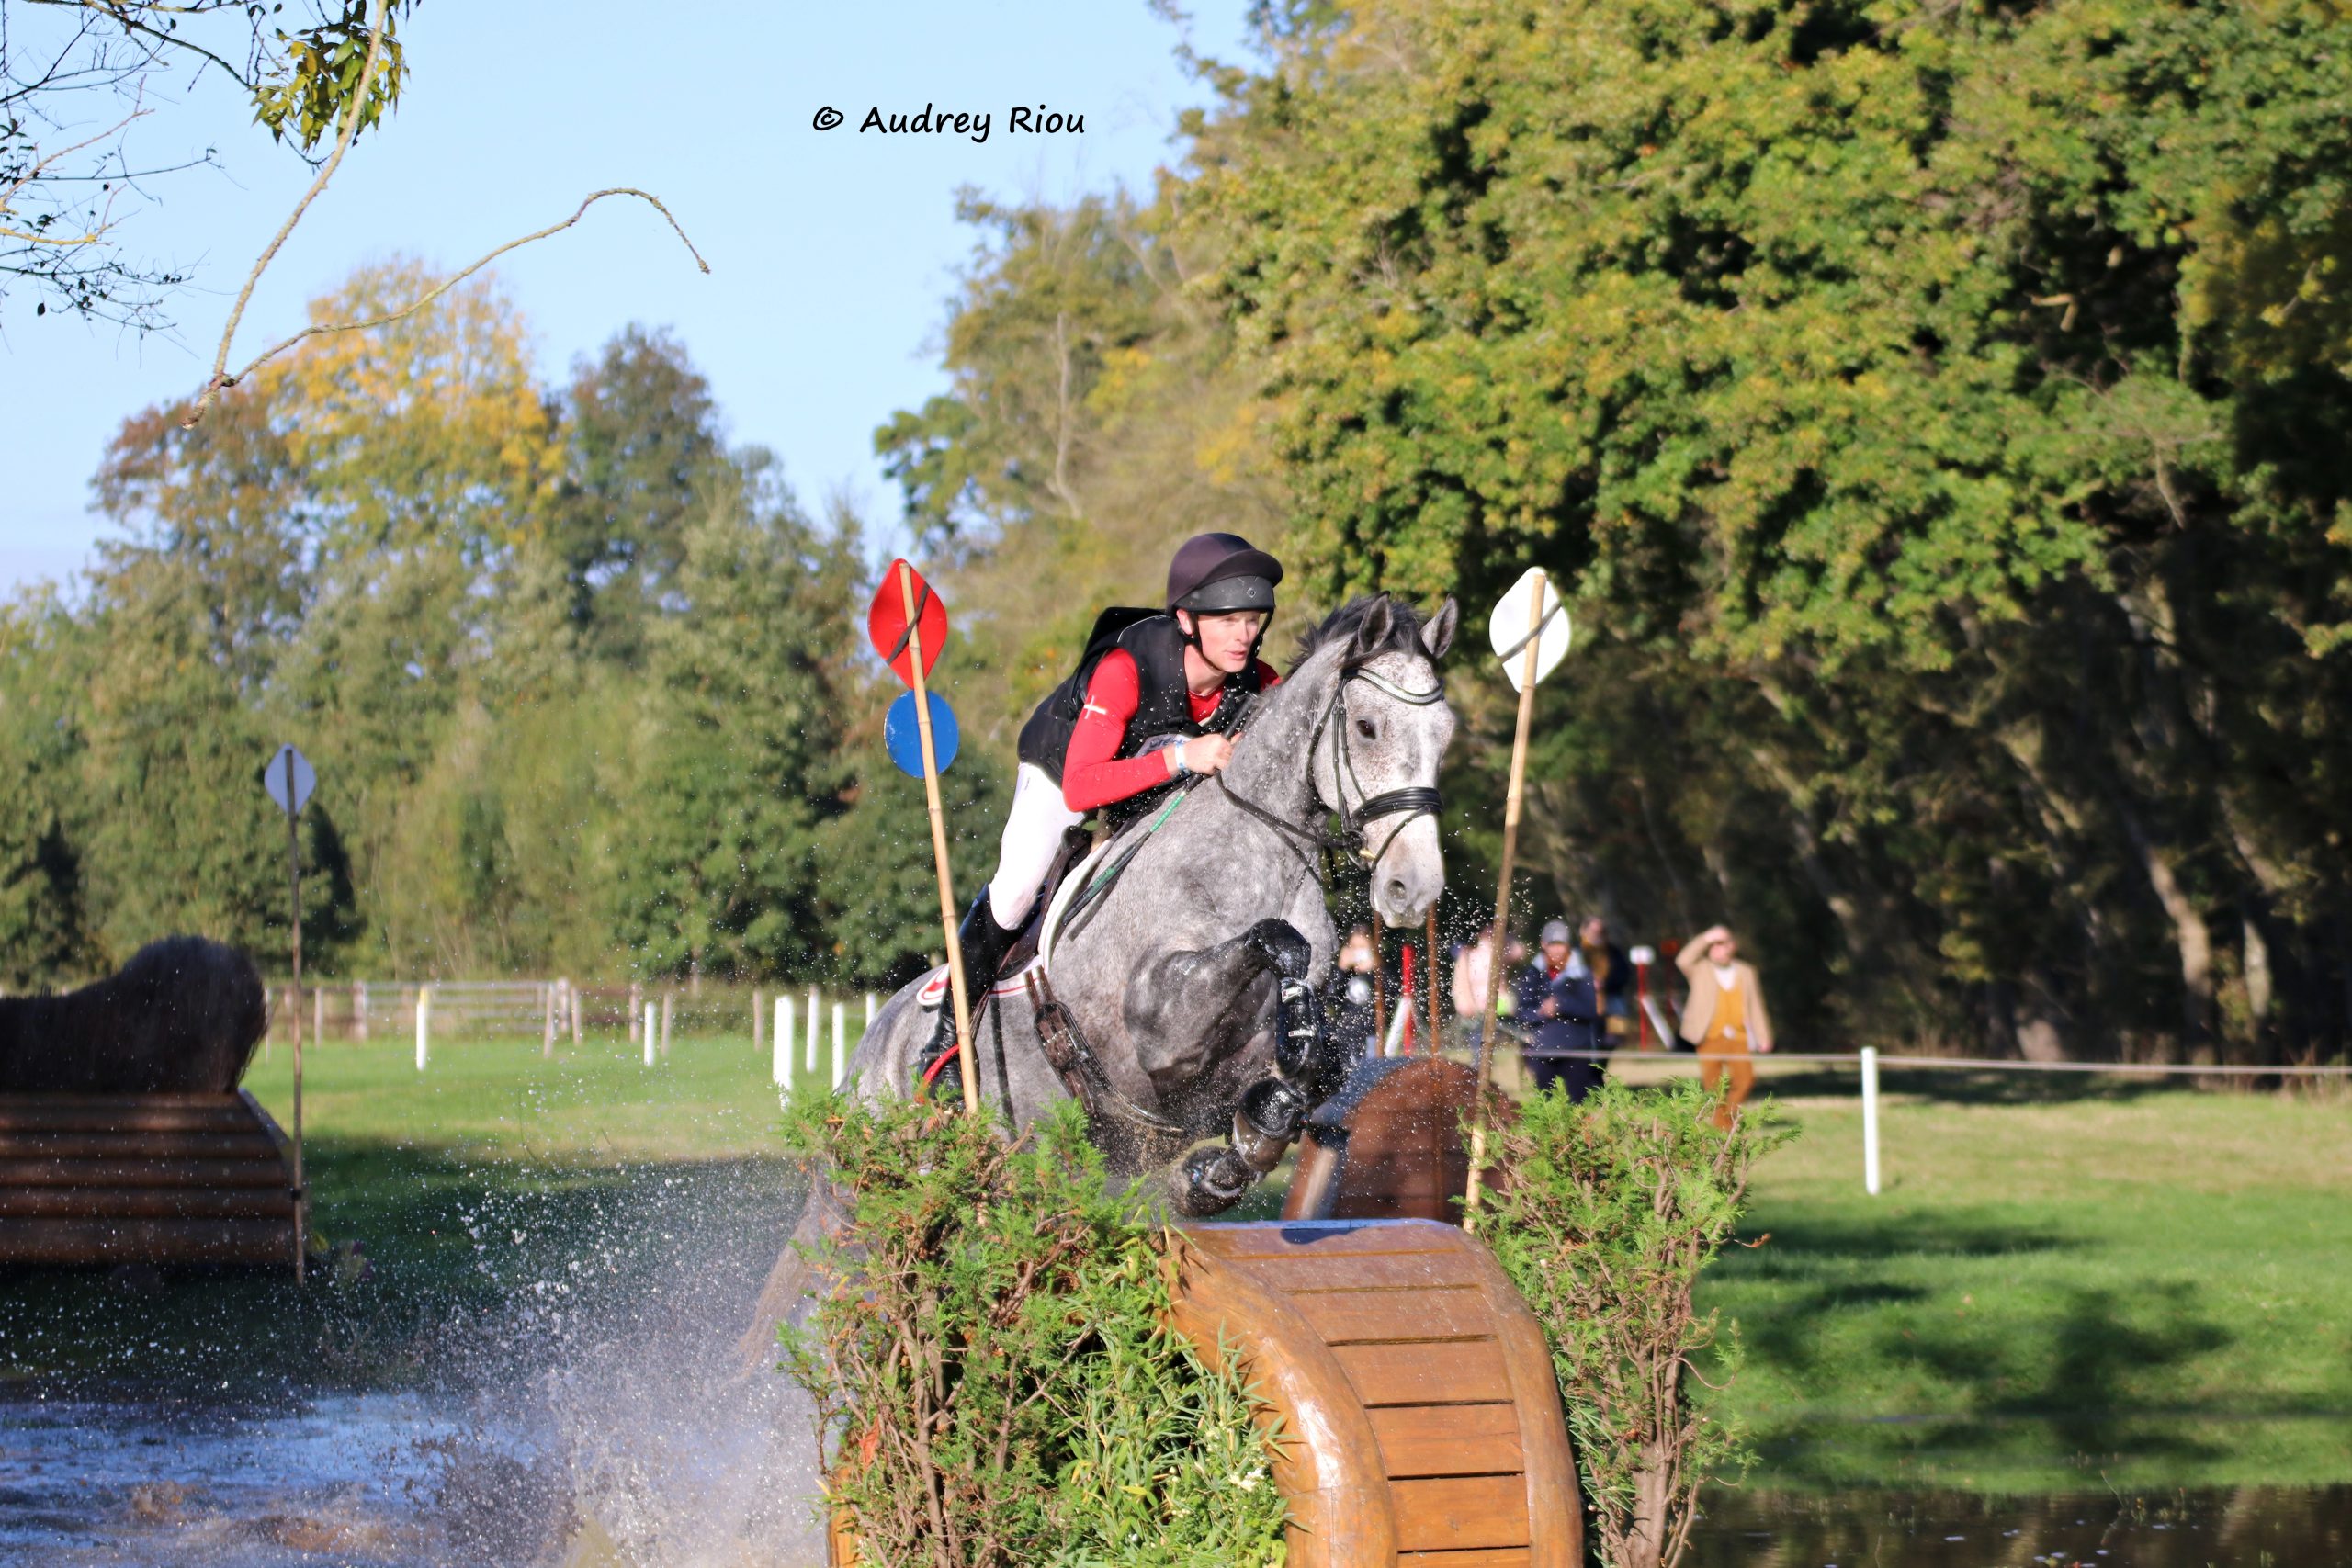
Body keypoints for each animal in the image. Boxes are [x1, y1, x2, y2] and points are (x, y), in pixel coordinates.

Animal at [741, 593, 1457, 1353]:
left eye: (1444, 734)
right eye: (1368, 726)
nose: (1415, 888)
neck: (1252, 858)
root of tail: (867, 1051)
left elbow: (1312, 1068)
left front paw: (1225, 1162)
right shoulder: (1161, 1028)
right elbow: (1276, 944)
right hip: (871, 1196)